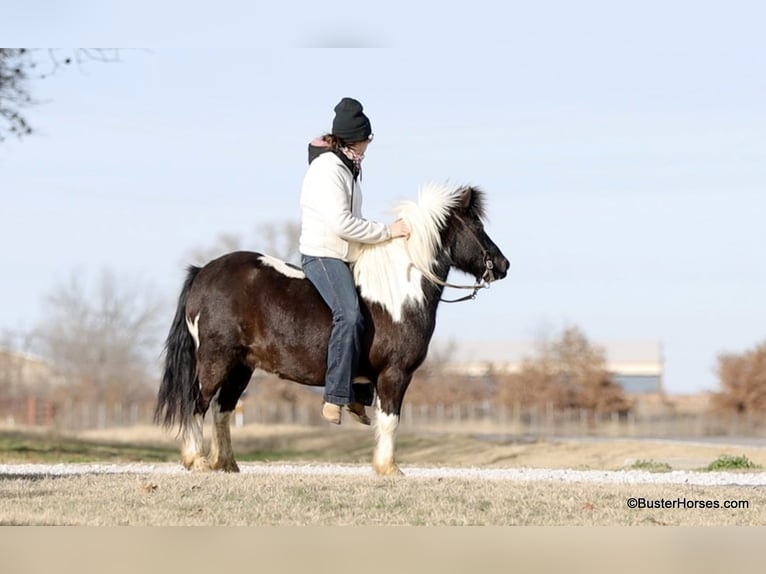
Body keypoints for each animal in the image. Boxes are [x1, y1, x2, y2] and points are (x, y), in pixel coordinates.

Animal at [154, 184, 510, 476]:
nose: (503, 265)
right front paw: (389, 468)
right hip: (215, 361)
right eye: (477, 226)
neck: (400, 293)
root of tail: (203, 272)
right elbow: (391, 420)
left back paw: (226, 464)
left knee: (222, 411)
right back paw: (197, 461)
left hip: (241, 367)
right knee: (197, 404)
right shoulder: (395, 373)